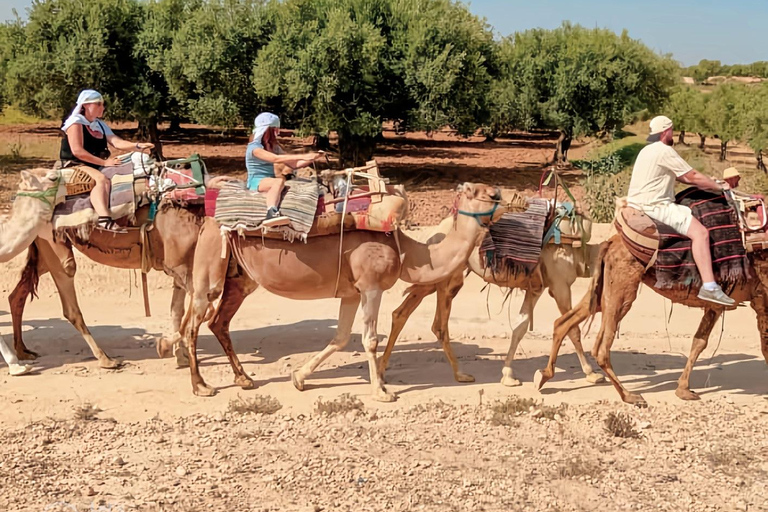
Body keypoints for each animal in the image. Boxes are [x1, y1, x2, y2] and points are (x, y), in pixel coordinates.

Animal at [9, 200, 205, 369]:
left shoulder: (182, 265)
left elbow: (177, 310)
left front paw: (180, 356)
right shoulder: (181, 265)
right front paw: (169, 349)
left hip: (43, 249)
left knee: (17, 294)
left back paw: (22, 351)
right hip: (53, 243)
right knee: (69, 298)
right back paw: (106, 359)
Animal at [174, 183, 527, 399]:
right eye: (493, 195)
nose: (521, 200)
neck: (407, 252)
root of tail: (208, 217)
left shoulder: (351, 292)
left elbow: (341, 337)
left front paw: (299, 378)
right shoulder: (371, 285)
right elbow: (369, 338)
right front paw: (382, 392)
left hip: (240, 276)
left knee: (218, 322)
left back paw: (244, 379)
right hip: (210, 266)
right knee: (193, 324)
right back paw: (201, 386)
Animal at [376, 214, 605, 387]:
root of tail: (430, 234)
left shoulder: (537, 288)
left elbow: (520, 328)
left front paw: (508, 376)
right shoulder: (560, 285)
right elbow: (572, 328)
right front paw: (592, 374)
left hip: (436, 278)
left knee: (402, 313)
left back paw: (383, 371)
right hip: (445, 277)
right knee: (437, 325)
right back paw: (459, 375)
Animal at [534, 235, 768, 407]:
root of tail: (611, 241)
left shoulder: (719, 303)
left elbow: (699, 341)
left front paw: (683, 389)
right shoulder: (762, 297)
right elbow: (765, 347)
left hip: (603, 288)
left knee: (564, 322)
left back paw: (544, 375)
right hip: (623, 287)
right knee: (600, 348)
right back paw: (629, 396)